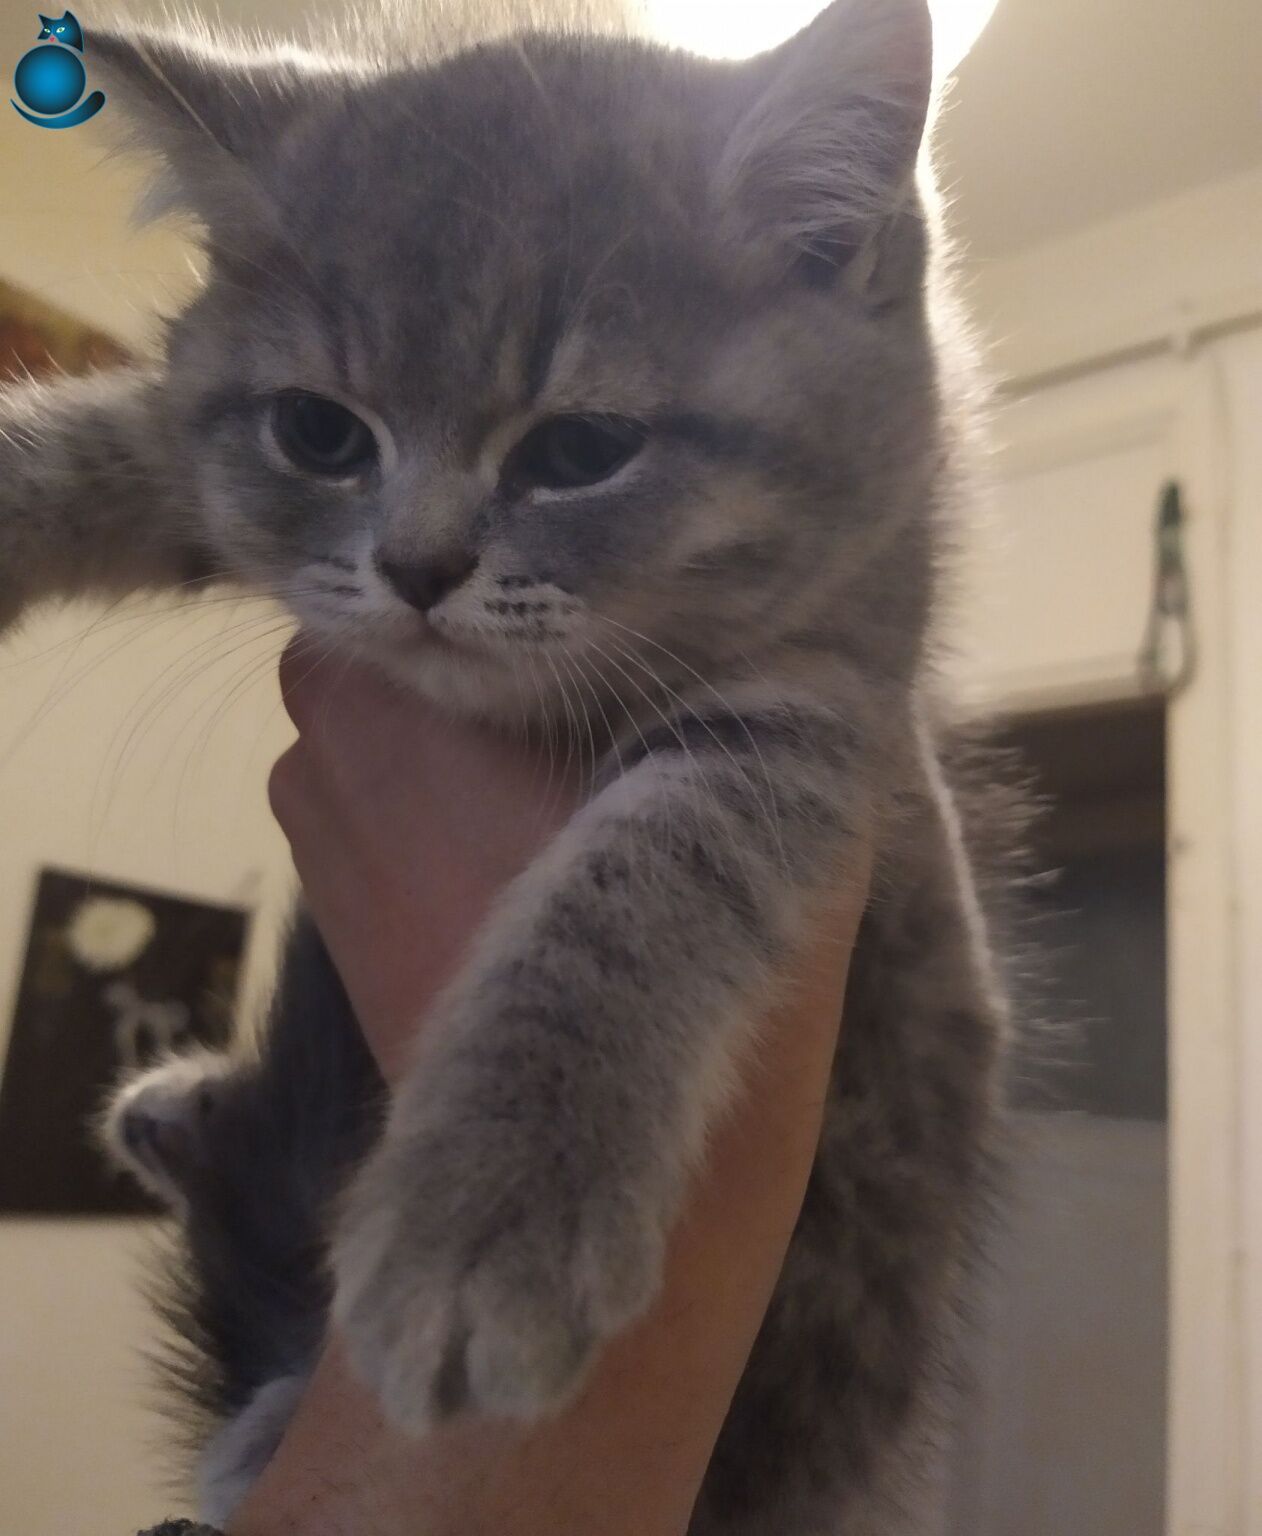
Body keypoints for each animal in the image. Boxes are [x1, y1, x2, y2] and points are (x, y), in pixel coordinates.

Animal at [0, 0, 1024, 1529]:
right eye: (320, 432)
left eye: (580, 449)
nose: (417, 568)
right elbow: (141, 438)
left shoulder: (817, 714)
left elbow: (633, 894)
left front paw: (484, 1214)